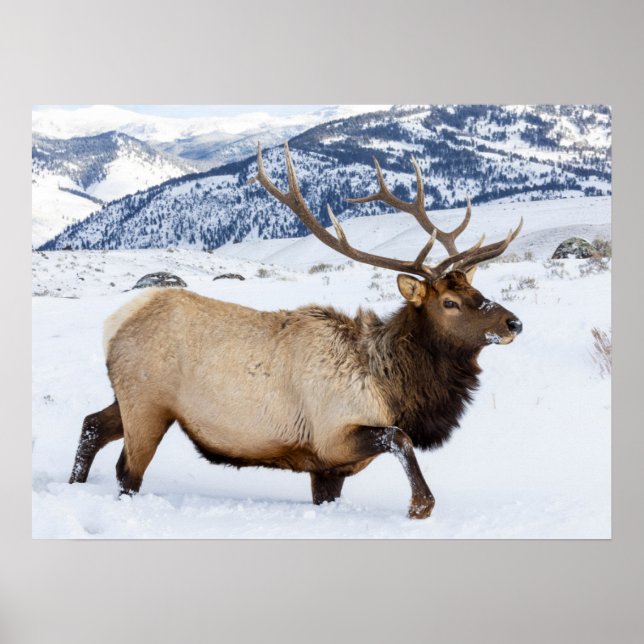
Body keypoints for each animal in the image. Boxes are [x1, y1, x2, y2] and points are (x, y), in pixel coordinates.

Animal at [69, 143, 523, 519]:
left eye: (476, 289)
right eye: (449, 302)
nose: (513, 322)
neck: (394, 389)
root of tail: (116, 322)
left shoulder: (328, 469)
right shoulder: (333, 436)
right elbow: (400, 439)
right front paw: (419, 506)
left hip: (131, 398)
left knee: (91, 424)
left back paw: (73, 484)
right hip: (148, 403)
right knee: (127, 471)